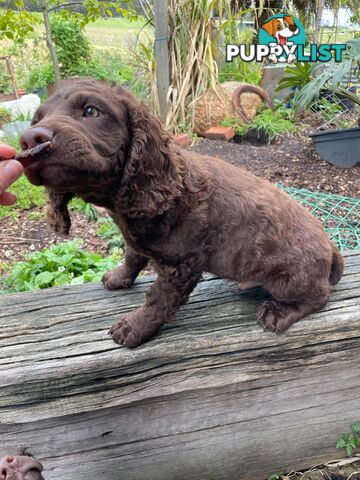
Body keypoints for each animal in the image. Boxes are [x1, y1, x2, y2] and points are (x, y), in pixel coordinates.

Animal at [19, 79, 344, 348]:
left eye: (90, 111)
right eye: (37, 119)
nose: (31, 139)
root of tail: (330, 246)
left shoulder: (180, 265)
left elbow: (157, 301)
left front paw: (133, 328)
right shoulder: (139, 240)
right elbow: (133, 256)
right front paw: (119, 277)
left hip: (289, 281)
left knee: (319, 294)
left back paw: (278, 312)